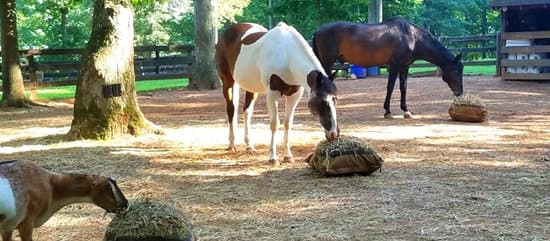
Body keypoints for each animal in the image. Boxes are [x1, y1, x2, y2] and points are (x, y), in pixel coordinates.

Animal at [217, 22, 340, 166]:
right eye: (323, 101)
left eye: (335, 99)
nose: (334, 133)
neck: (287, 56)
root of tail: (228, 32)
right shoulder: (272, 94)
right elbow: (275, 124)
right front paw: (273, 158)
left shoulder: (294, 95)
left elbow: (288, 123)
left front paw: (288, 156)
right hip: (228, 81)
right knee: (231, 110)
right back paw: (231, 144)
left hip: (252, 88)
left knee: (247, 112)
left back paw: (249, 146)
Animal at [314, 17, 466, 118]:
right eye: (455, 71)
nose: (460, 93)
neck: (412, 37)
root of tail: (317, 31)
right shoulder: (395, 65)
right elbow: (390, 87)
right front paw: (387, 111)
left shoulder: (405, 66)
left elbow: (403, 87)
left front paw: (406, 110)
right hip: (327, 62)